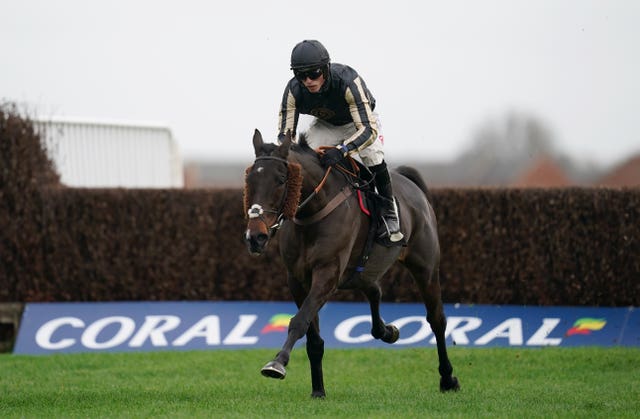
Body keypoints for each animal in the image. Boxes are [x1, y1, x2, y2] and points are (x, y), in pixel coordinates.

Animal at [242, 130, 458, 400]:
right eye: (250, 179)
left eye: (281, 180)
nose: (256, 237)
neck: (313, 214)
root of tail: (411, 184)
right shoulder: (297, 279)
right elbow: (313, 337)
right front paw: (318, 390)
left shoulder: (327, 273)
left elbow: (299, 321)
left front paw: (277, 363)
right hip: (360, 271)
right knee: (374, 290)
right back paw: (387, 331)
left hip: (425, 266)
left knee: (437, 319)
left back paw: (448, 378)